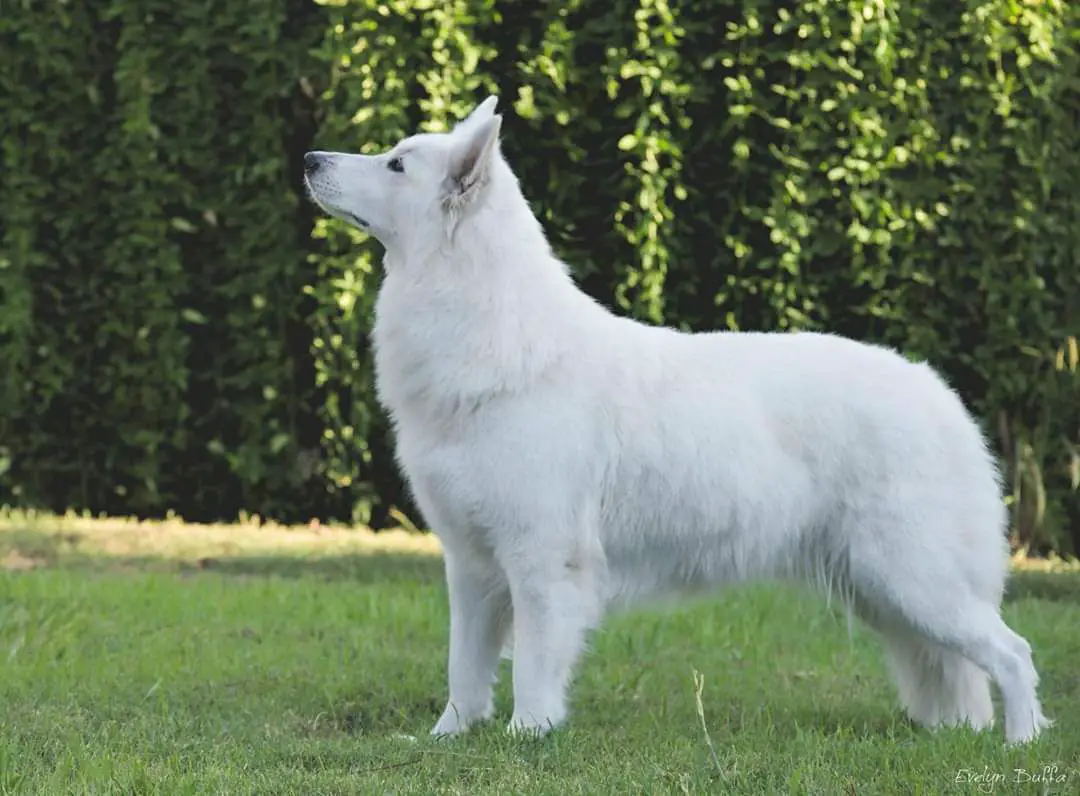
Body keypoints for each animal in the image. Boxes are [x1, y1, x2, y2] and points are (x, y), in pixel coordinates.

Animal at [303, 96, 1049, 744]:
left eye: (397, 165)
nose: (309, 157)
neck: (490, 328)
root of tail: (939, 394)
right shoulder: (471, 566)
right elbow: (464, 669)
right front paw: (446, 739)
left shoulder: (542, 560)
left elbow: (535, 666)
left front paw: (528, 736)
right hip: (883, 593)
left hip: (913, 579)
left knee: (1013, 652)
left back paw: (1019, 743)